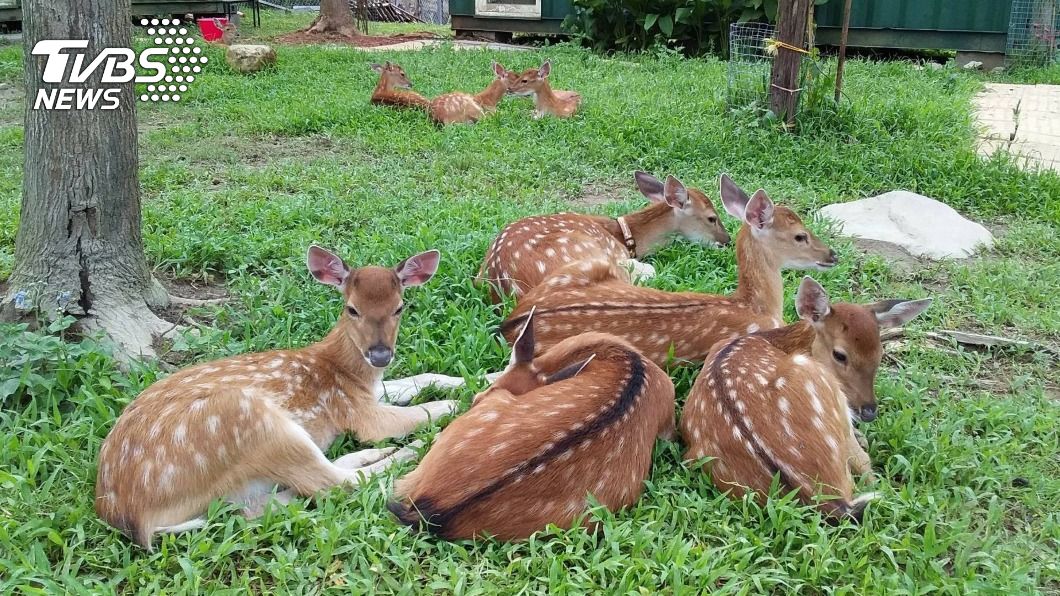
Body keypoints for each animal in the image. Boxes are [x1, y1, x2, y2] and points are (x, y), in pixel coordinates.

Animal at [95, 245, 467, 550]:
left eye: (400, 307)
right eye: (352, 309)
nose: (379, 354)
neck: (342, 369)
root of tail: (127, 514)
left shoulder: (369, 393)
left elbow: (419, 379)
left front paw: (468, 378)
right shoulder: (355, 410)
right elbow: (425, 409)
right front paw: (460, 403)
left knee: (261, 503)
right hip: (251, 420)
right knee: (333, 484)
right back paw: (413, 450)